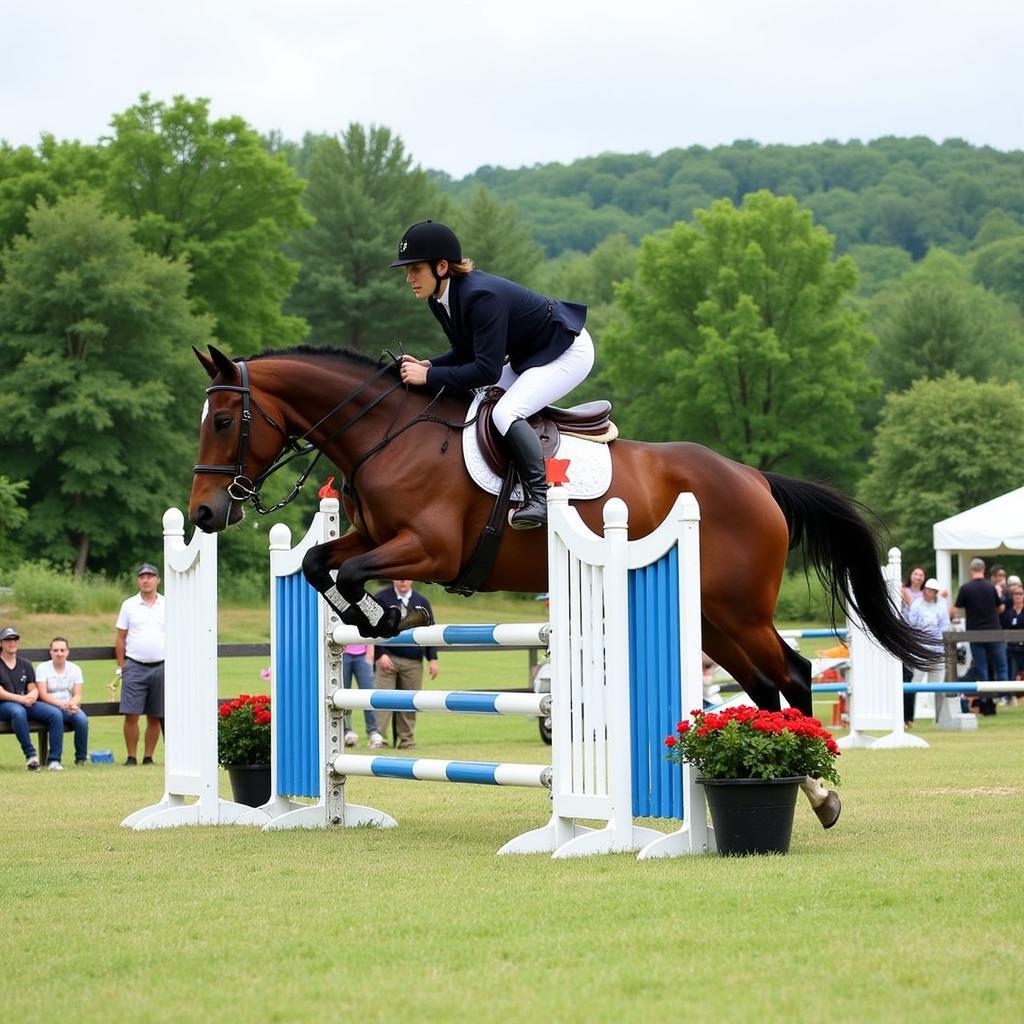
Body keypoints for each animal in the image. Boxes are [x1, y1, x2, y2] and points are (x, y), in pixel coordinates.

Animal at [188, 339, 933, 724]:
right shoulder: (373, 537)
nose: (203, 515)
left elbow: (346, 571)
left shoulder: (429, 549)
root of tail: (754, 479)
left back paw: (816, 779)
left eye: (223, 421)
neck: (387, 433)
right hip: (712, 615)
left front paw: (387, 616)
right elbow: (321, 563)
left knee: (796, 672)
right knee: (762, 681)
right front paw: (377, 616)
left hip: (740, 608)